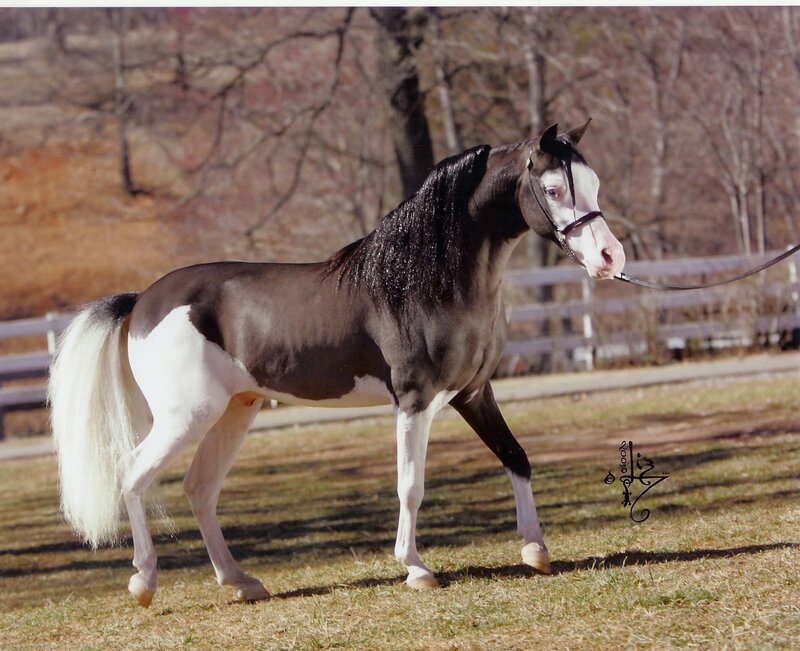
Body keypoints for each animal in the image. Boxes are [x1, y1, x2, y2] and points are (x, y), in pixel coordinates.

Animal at [48, 120, 625, 608]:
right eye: (553, 189)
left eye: (594, 183)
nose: (610, 259)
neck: (423, 280)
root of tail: (141, 301)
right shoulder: (414, 401)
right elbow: (410, 485)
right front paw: (416, 568)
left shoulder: (473, 394)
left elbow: (516, 456)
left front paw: (535, 550)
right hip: (185, 417)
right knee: (133, 475)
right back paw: (144, 582)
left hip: (234, 412)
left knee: (200, 489)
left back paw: (241, 582)